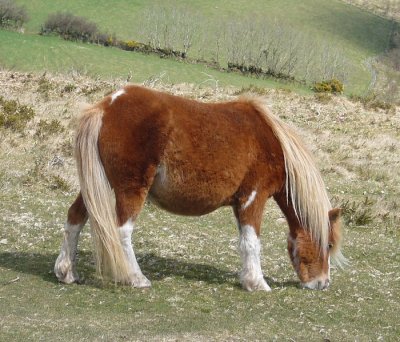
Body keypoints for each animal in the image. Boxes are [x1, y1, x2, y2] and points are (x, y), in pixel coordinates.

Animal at [54, 85, 346, 292]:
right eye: (329, 244)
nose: (322, 284)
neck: (271, 143)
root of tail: (106, 106)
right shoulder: (254, 197)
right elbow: (252, 242)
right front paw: (258, 284)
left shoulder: (240, 203)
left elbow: (244, 242)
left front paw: (247, 279)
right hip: (130, 190)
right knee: (121, 231)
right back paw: (136, 278)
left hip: (98, 186)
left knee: (75, 218)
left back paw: (66, 272)